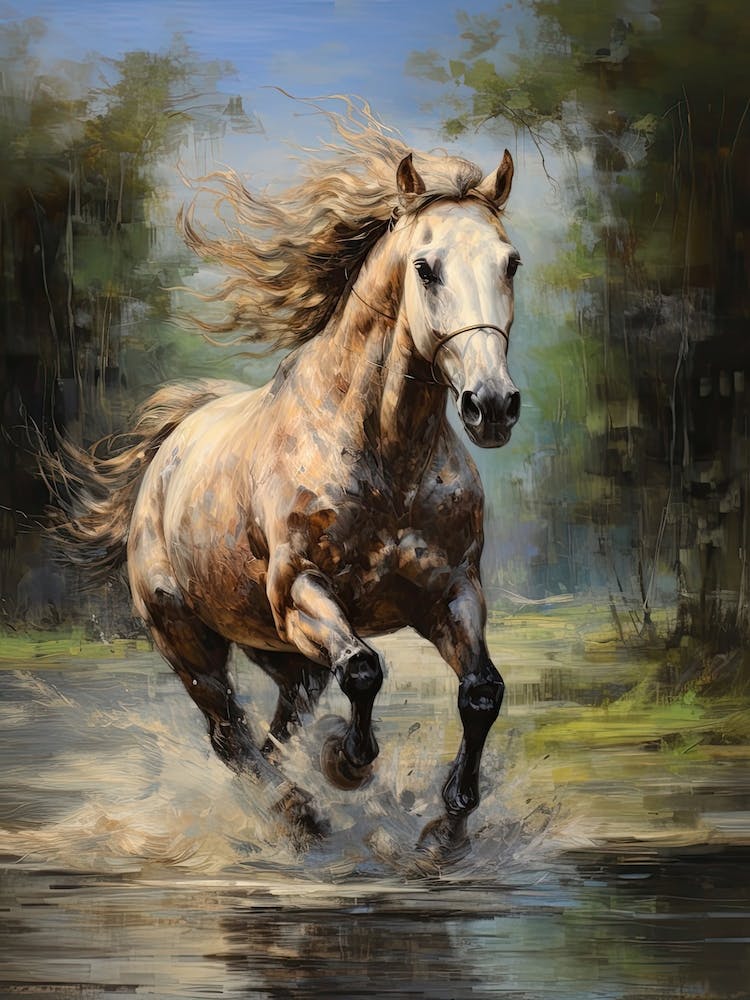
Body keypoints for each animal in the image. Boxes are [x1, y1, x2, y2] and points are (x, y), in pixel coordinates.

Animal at [48, 106, 522, 852]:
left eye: (511, 263)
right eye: (425, 267)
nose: (492, 405)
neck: (383, 456)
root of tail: (168, 451)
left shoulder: (451, 591)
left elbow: (481, 692)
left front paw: (449, 818)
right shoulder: (302, 593)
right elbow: (364, 670)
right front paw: (348, 762)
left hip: (277, 651)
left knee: (276, 728)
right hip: (191, 642)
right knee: (230, 734)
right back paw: (301, 811)